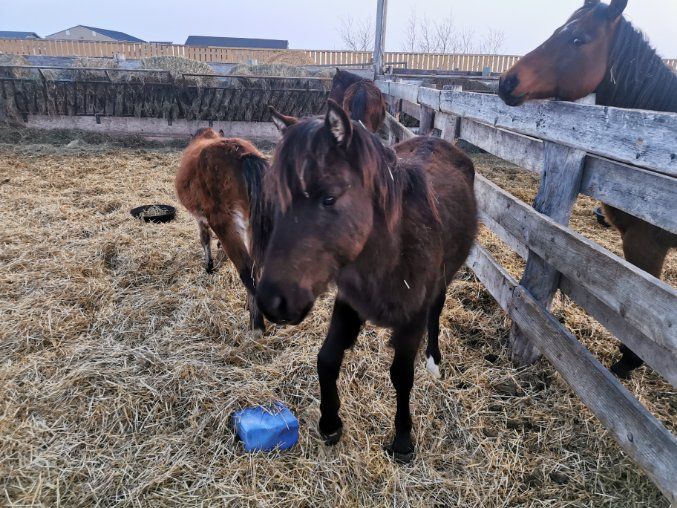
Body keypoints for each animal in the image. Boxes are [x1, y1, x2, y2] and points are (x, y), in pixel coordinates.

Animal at [175, 128, 273, 331]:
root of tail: (242, 154)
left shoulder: (201, 219)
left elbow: (204, 238)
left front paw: (209, 266)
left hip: (224, 223)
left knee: (248, 271)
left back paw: (256, 326)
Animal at [257, 101, 477, 462]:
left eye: (329, 198)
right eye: (276, 199)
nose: (272, 301)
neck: (392, 251)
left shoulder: (412, 318)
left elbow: (401, 375)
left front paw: (402, 440)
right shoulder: (349, 303)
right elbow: (327, 358)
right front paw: (330, 423)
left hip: (443, 280)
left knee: (437, 311)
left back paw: (434, 361)